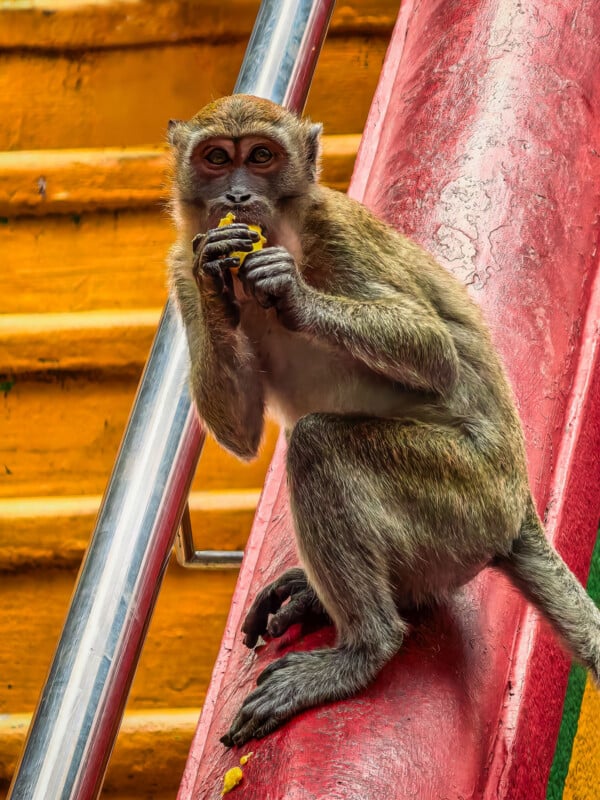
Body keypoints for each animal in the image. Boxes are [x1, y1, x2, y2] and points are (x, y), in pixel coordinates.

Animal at [167, 94, 600, 748]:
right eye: (217, 159)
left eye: (261, 156)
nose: (237, 194)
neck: (285, 232)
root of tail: (518, 508)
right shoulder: (180, 263)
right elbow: (240, 430)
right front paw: (219, 272)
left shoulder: (337, 233)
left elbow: (434, 351)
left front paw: (292, 293)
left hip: (464, 500)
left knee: (319, 443)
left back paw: (367, 646)